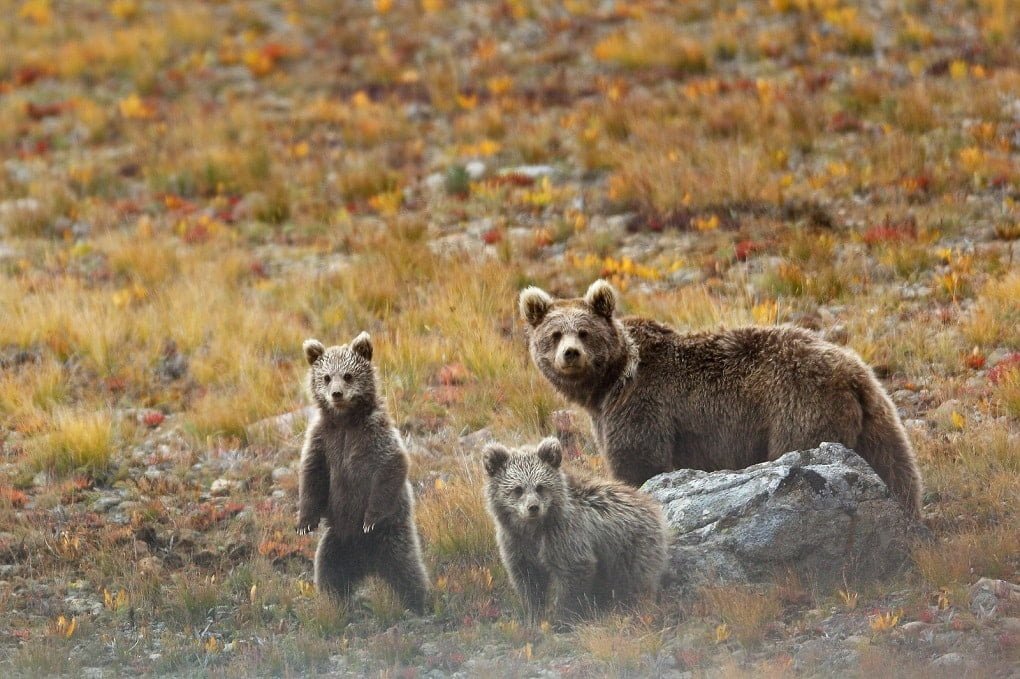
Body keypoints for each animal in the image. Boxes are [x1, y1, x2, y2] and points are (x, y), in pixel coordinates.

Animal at [297, 330, 428, 611]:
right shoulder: (323, 438)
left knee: (408, 570)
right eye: (326, 377)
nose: (336, 394)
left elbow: (391, 464)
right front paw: (304, 523)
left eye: (348, 375)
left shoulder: (374, 434)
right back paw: (334, 603)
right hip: (335, 541)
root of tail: (368, 564)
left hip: (392, 537)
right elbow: (312, 472)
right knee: (329, 572)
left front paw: (369, 519)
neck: (346, 421)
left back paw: (420, 603)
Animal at [483, 436, 669, 619]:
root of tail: (652, 507)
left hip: (629, 547)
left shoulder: (566, 535)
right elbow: (528, 579)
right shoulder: (515, 542)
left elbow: (573, 572)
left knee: (634, 580)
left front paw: (563, 616)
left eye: (540, 487)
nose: (533, 507)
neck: (534, 529)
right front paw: (533, 613)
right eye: (518, 489)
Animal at [518, 277, 926, 509]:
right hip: (876, 413)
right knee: (896, 464)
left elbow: (640, 461)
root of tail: (850, 373)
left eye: (584, 332)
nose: (571, 354)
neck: (608, 384)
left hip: (797, 410)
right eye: (554, 334)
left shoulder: (642, 406)